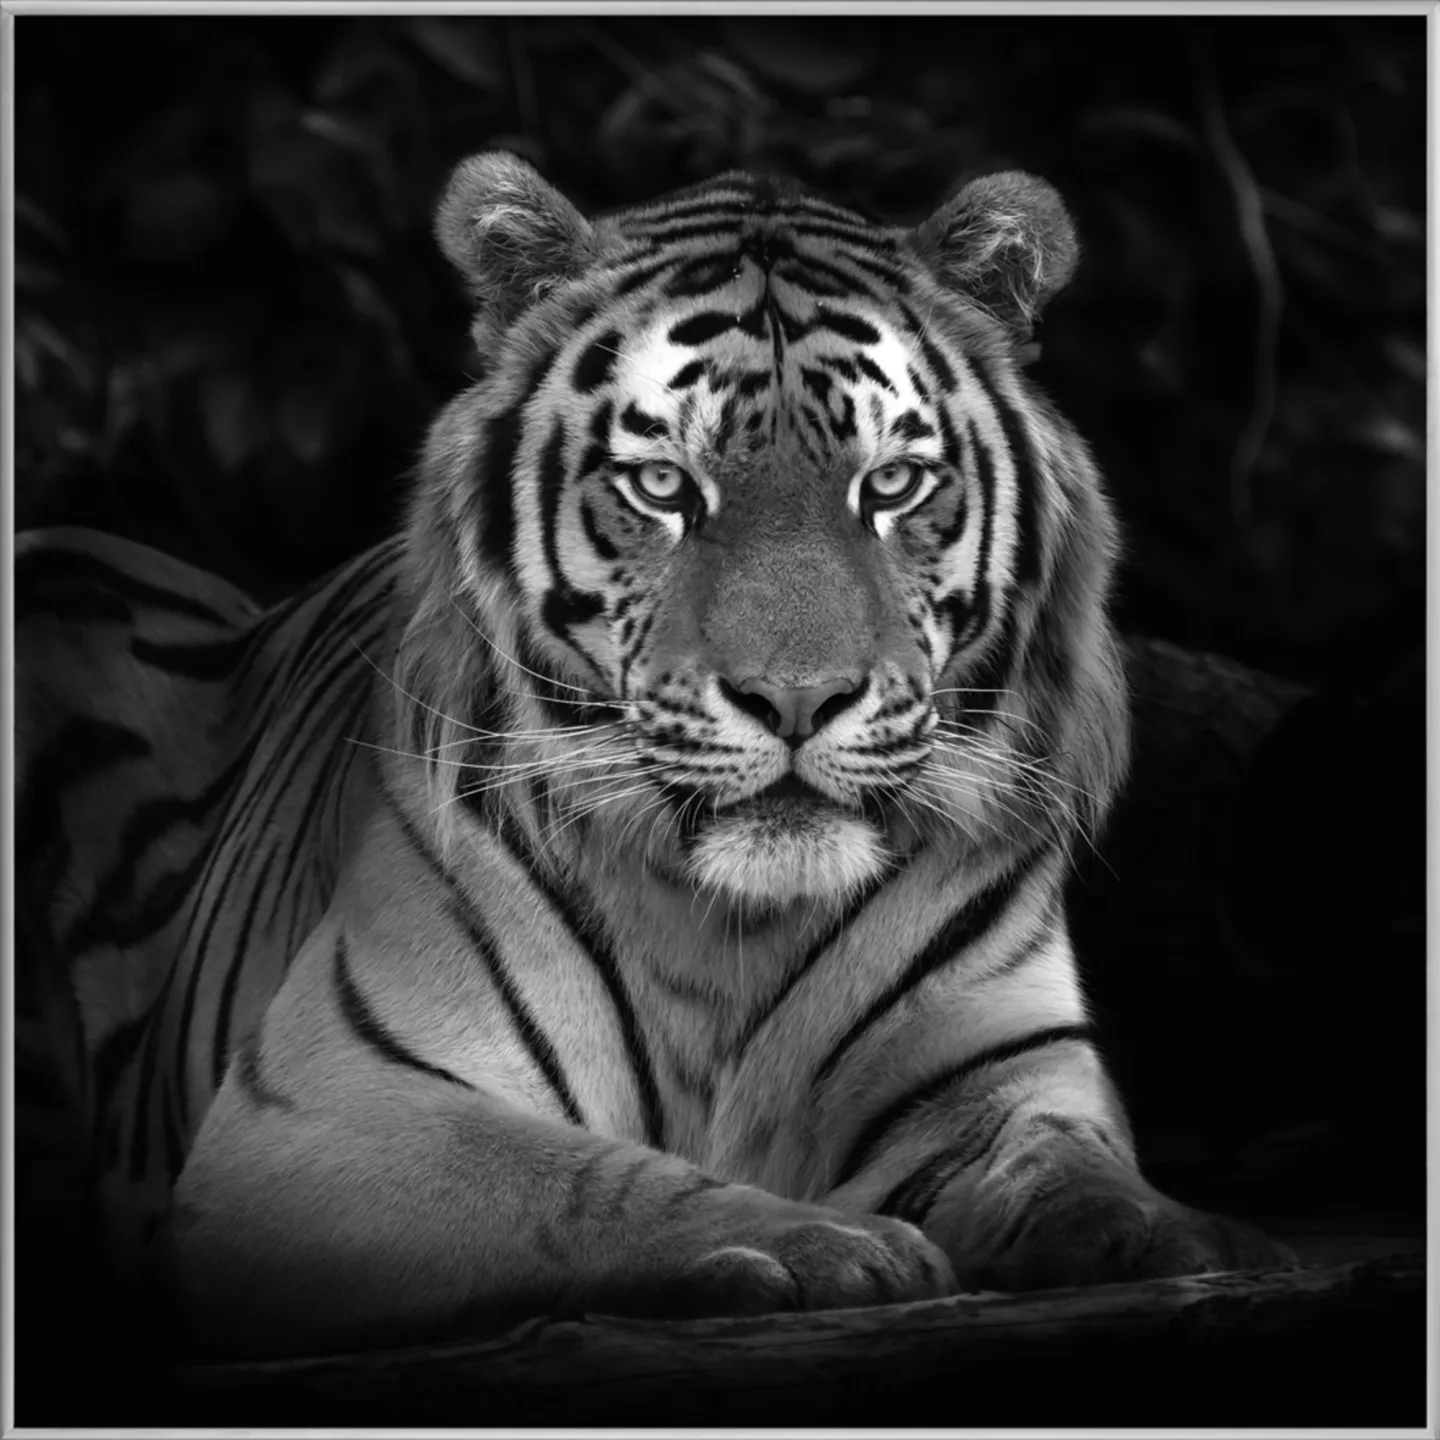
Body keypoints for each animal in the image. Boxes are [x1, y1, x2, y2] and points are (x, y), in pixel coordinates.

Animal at [15, 151, 1293, 1362]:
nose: (798, 698)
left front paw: (1180, 1235)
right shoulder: (332, 1103)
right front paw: (826, 1245)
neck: (735, 929)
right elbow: (576, 1182)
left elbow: (1065, 1164)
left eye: (890, 483)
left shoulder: (999, 1075)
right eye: (664, 485)